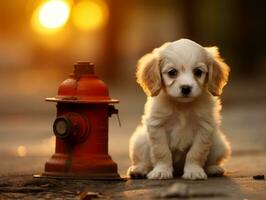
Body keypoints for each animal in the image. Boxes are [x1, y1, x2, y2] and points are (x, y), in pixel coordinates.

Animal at [127, 38, 231, 180]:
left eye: (198, 72)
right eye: (172, 72)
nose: (186, 88)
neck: (182, 106)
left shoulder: (204, 128)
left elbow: (196, 152)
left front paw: (193, 171)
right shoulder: (157, 125)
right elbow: (161, 151)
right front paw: (161, 171)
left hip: (219, 144)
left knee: (211, 160)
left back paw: (213, 169)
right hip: (139, 141)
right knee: (145, 161)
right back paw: (139, 169)